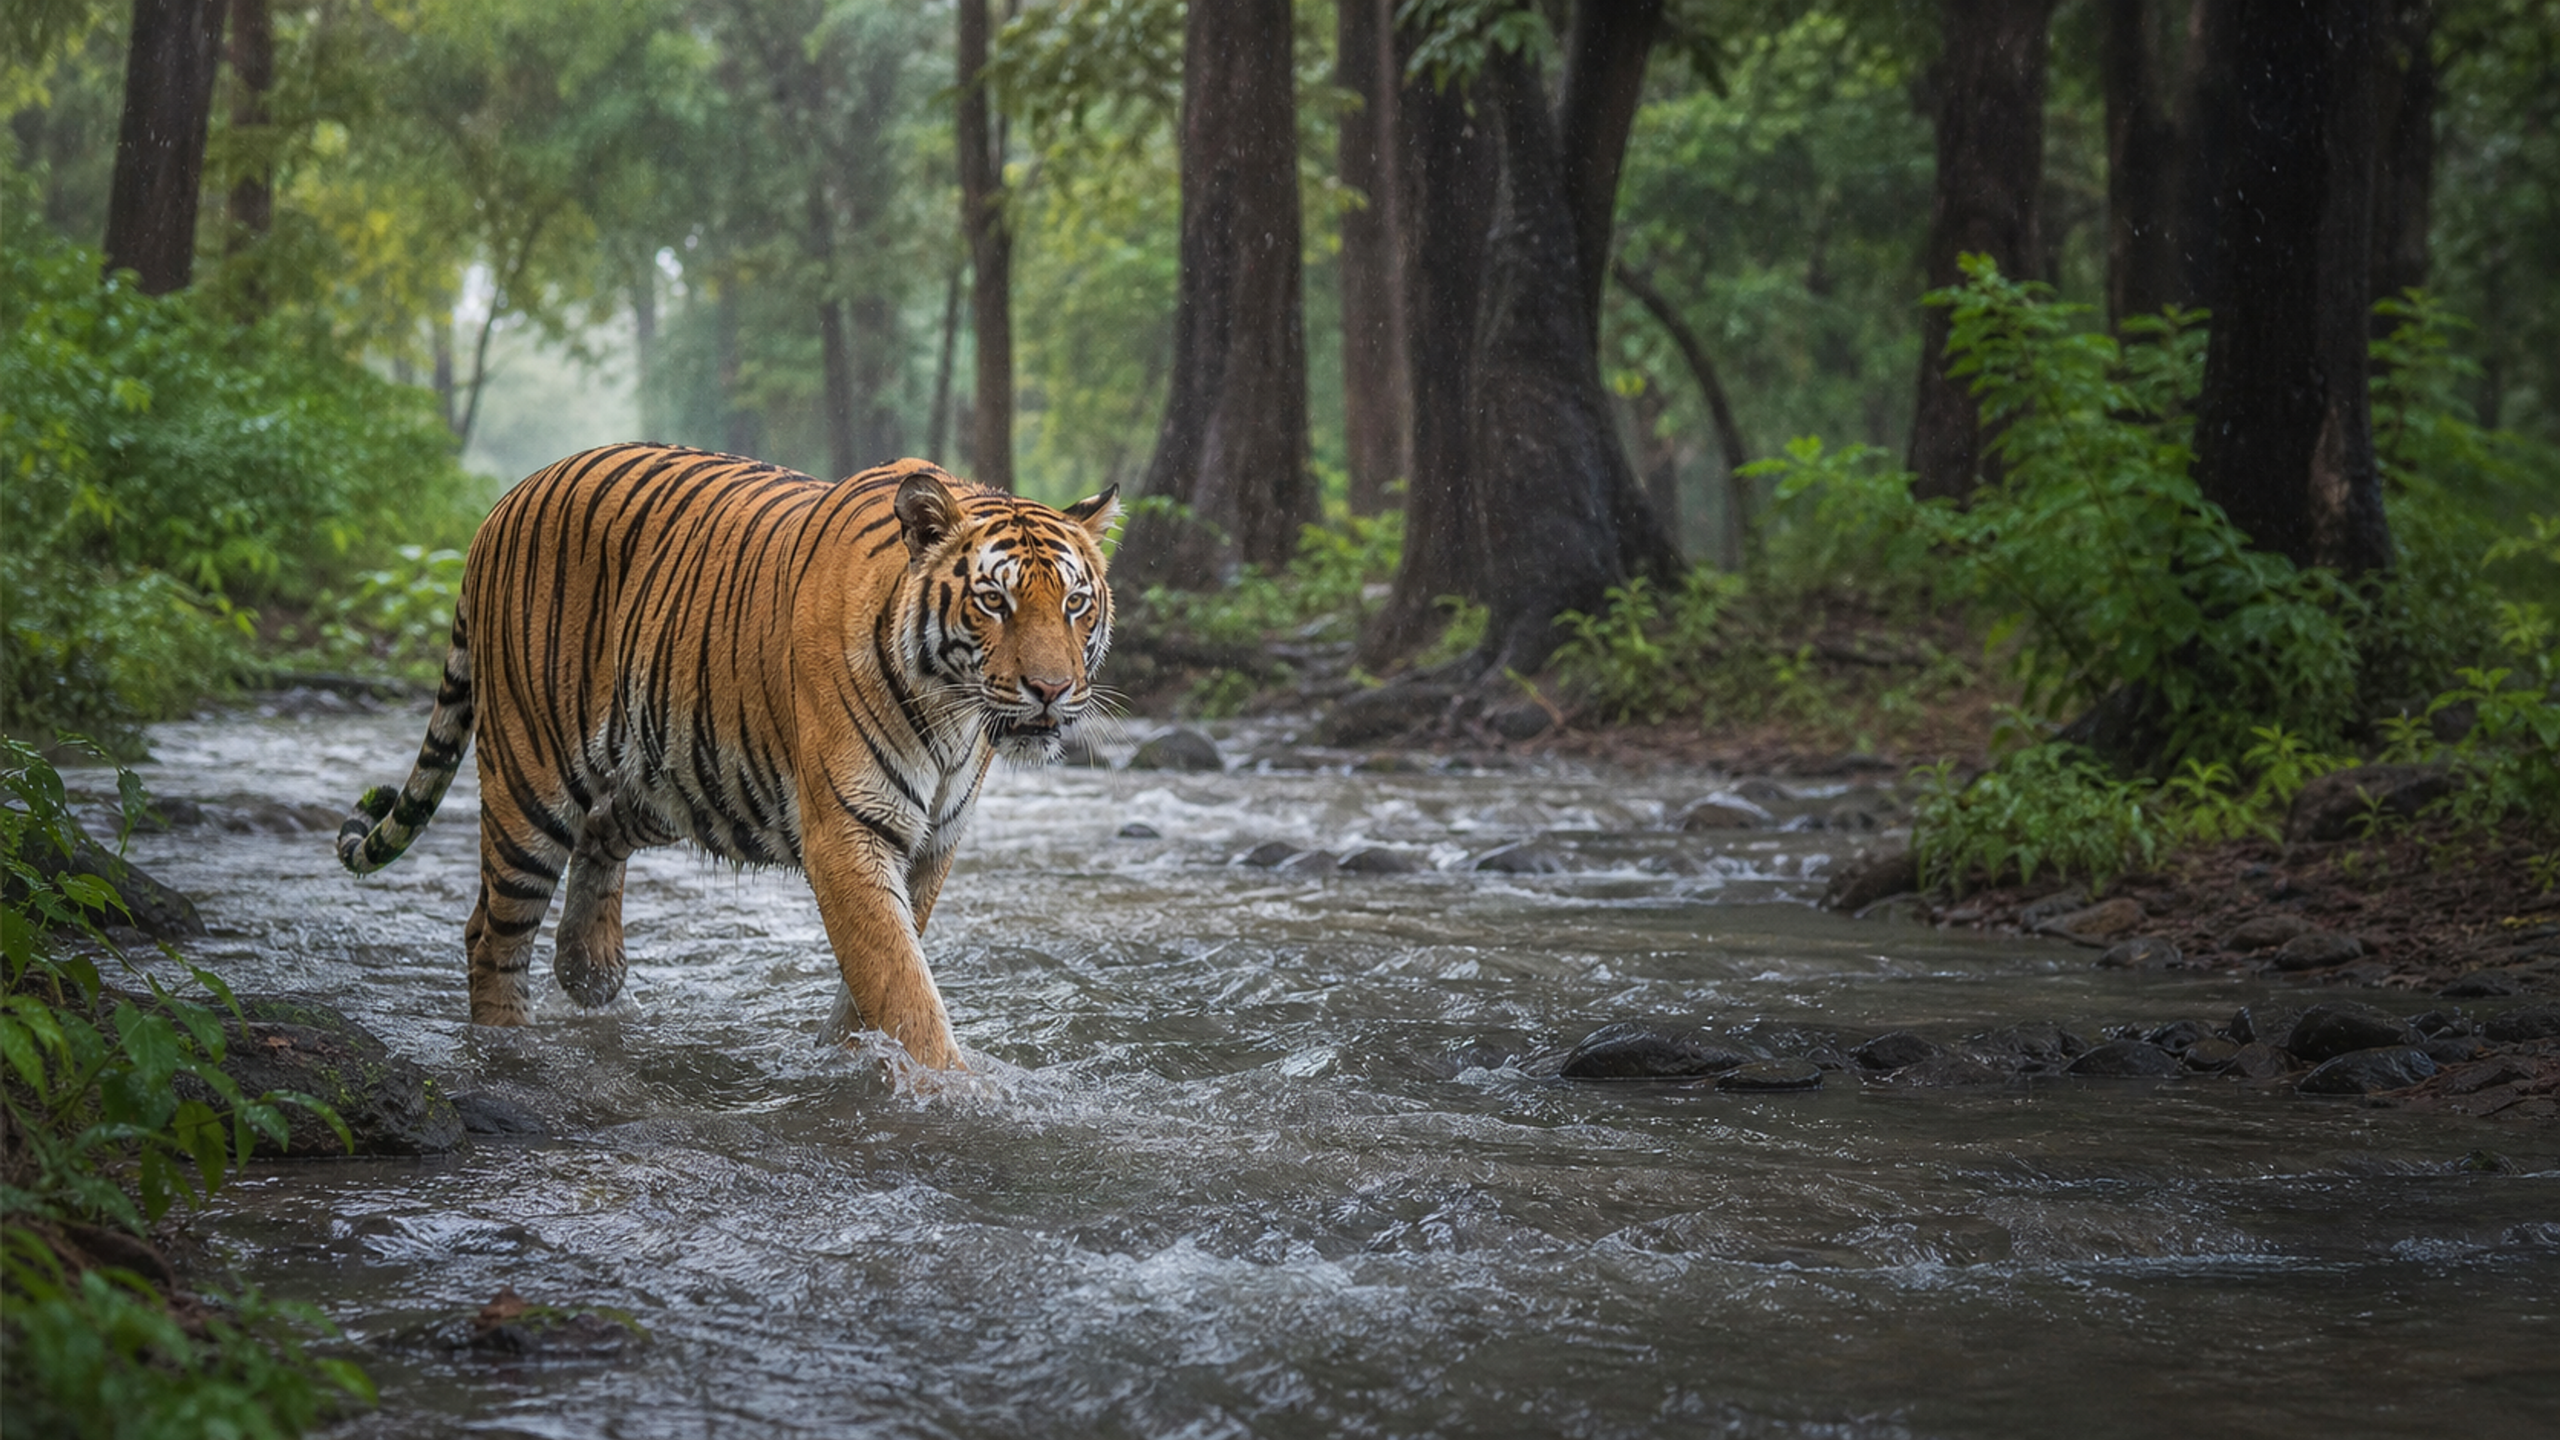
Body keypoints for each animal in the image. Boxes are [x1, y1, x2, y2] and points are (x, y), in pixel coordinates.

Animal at [335, 443, 1117, 1071]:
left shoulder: (933, 843)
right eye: (993, 601)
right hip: (530, 779)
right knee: (490, 936)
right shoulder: (849, 833)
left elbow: (878, 978)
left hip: (682, 774)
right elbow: (899, 981)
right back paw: (508, 1047)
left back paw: (590, 968)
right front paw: (953, 1094)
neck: (953, 720)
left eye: (1075, 603)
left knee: (600, 830)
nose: (1051, 690)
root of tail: (503, 502)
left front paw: (852, 1059)